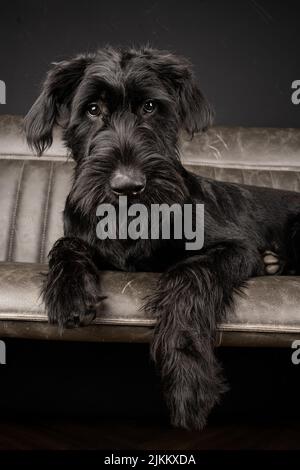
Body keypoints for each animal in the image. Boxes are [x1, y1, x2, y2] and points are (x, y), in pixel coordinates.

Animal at [24, 46, 300, 430]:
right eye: (92, 109)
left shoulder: (235, 248)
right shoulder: (80, 234)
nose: (127, 186)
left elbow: (188, 278)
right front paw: (69, 290)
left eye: (151, 107)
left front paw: (188, 379)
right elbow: (66, 244)